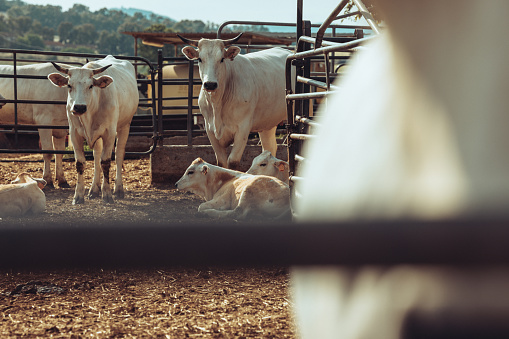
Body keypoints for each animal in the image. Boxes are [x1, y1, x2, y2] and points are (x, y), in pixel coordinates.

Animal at [47, 55, 139, 205]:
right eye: (69, 85)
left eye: (90, 86)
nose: (79, 107)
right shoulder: (74, 134)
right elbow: (80, 163)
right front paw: (78, 196)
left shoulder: (109, 133)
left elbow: (106, 162)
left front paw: (107, 195)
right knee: (96, 157)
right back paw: (94, 190)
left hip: (125, 125)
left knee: (119, 154)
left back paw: (118, 189)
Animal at [178, 33, 292, 171]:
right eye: (199, 59)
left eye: (222, 59)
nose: (210, 84)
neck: (218, 104)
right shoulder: (210, 131)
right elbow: (222, 163)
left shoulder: (243, 129)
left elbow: (232, 162)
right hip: (267, 124)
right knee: (269, 147)